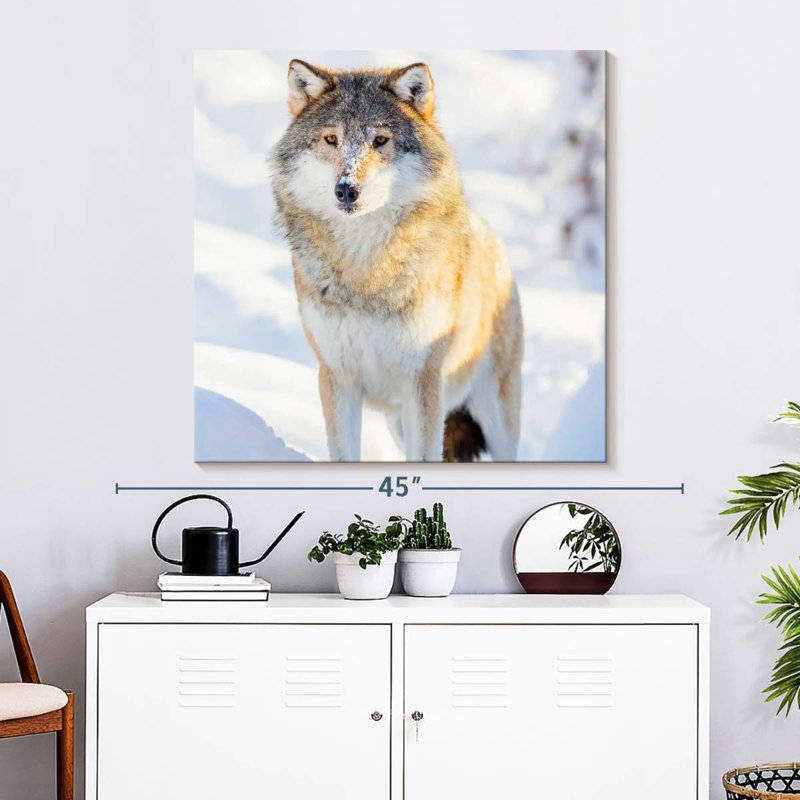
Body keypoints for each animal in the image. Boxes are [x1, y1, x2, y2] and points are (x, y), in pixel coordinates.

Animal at [271, 59, 523, 462]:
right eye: (331, 139)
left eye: (380, 141)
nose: (346, 189)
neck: (365, 269)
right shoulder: (338, 377)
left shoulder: (422, 381)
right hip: (398, 423)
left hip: (492, 418)